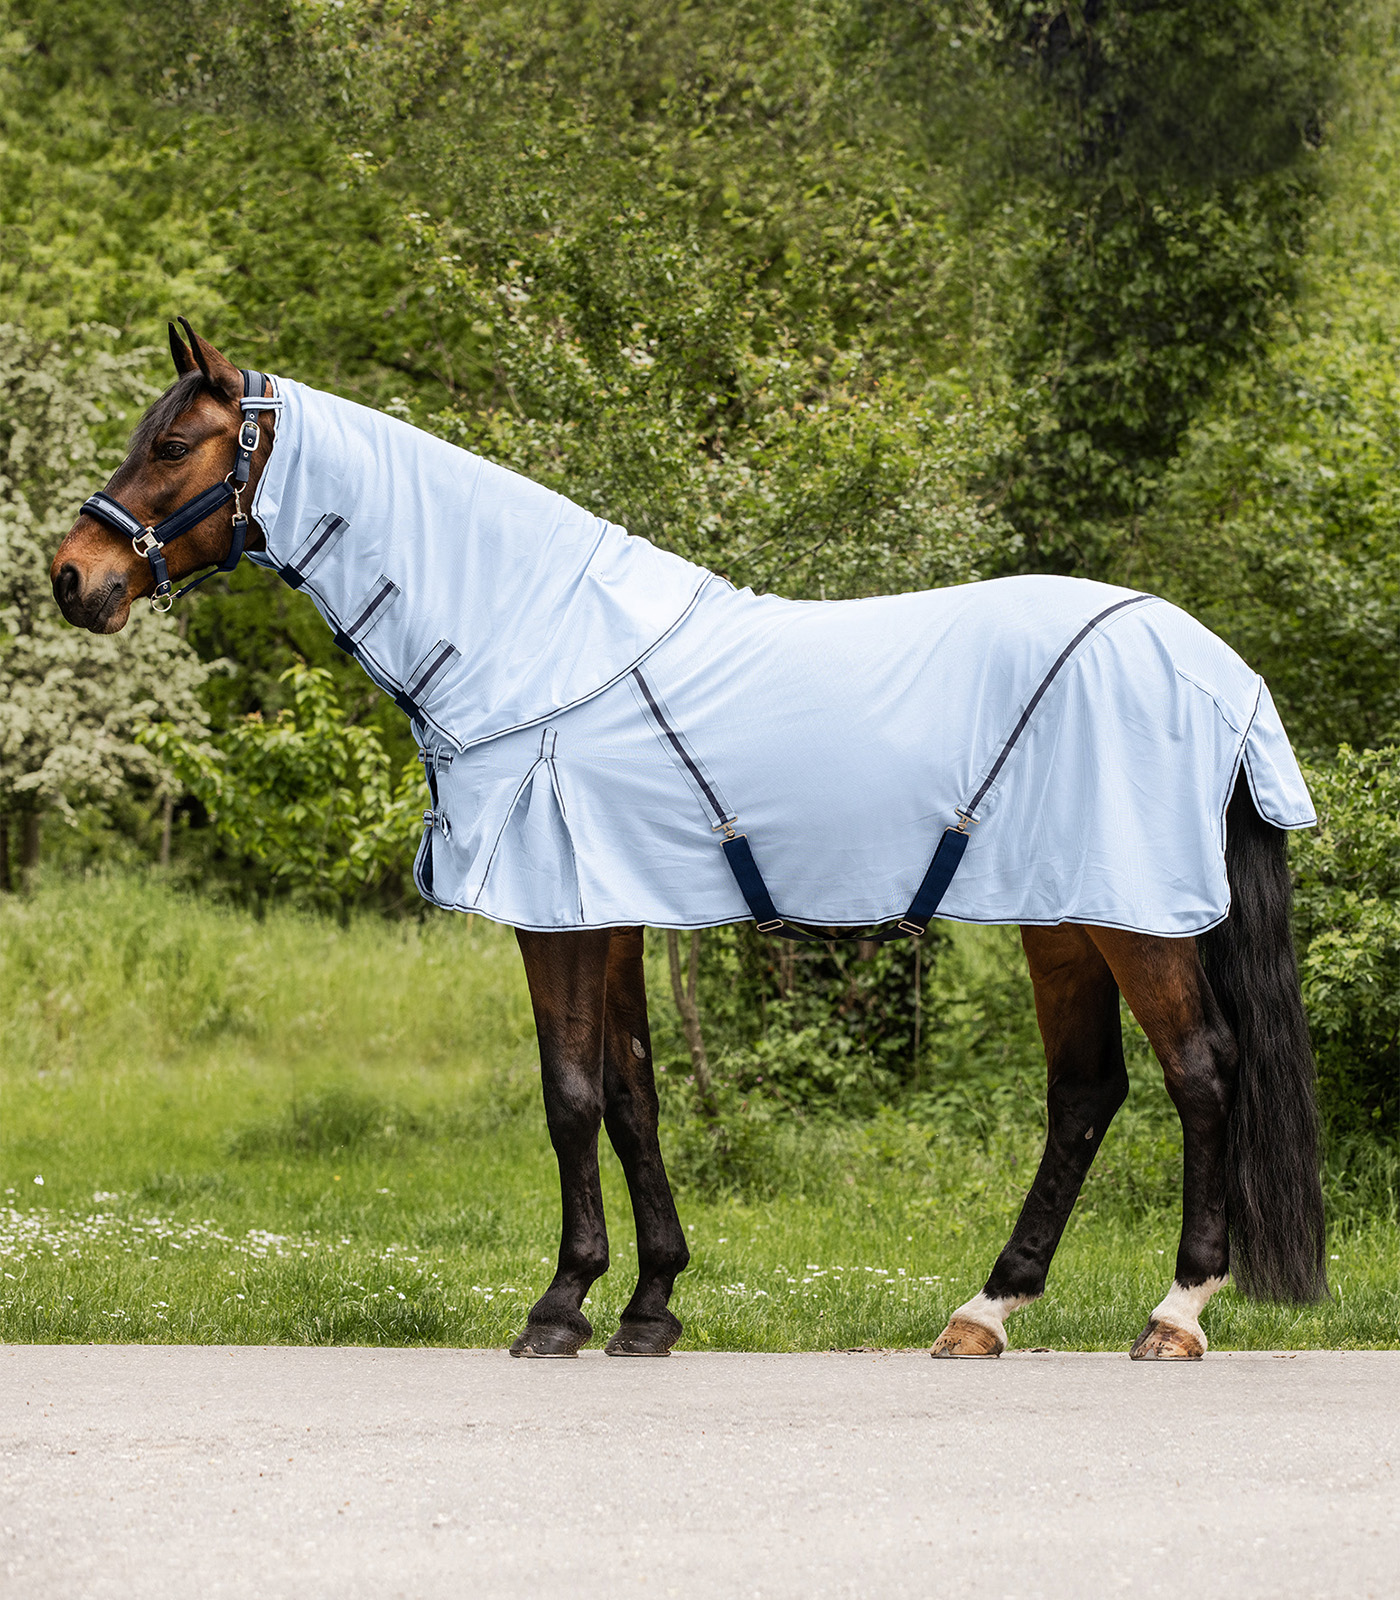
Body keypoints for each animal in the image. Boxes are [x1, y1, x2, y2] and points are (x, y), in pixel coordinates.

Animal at [52, 324, 1324, 1363]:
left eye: (174, 443)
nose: (74, 577)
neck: (540, 643)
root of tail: (1215, 666)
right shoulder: (608, 913)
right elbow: (633, 1096)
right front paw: (649, 1304)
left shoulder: (557, 919)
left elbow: (570, 1094)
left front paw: (560, 1305)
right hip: (1062, 915)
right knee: (1085, 1089)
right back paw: (985, 1310)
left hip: (1132, 919)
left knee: (1199, 1070)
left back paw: (1174, 1312)